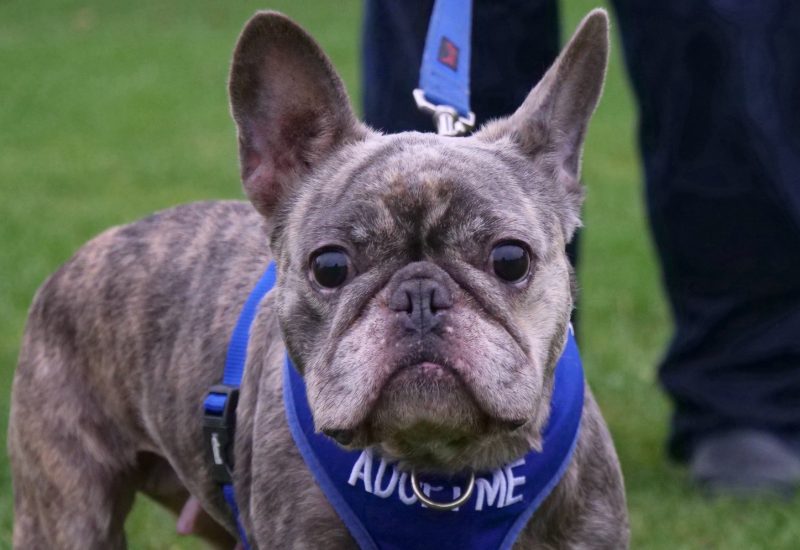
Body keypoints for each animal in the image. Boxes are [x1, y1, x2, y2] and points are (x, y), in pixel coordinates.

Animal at [9, 8, 628, 549]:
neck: (436, 475)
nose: (419, 295)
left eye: (510, 260)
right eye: (330, 266)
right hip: (67, 515)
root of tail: (86, 251)